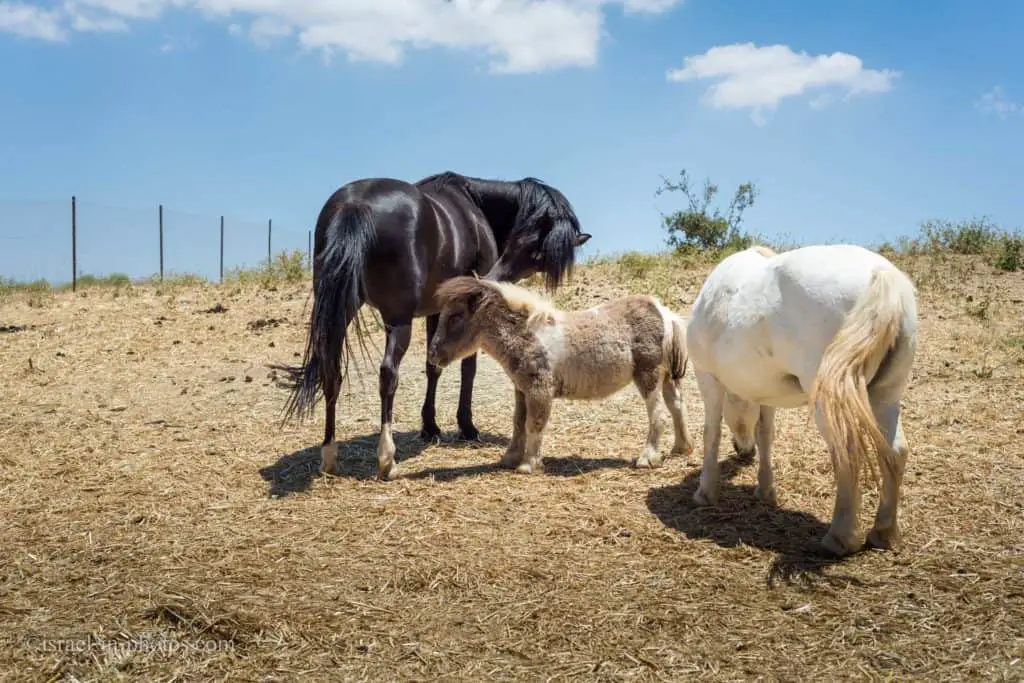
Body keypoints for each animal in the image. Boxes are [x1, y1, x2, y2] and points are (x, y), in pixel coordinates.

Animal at [276, 171, 593, 481]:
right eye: (524, 244)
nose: (490, 278)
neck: (475, 203)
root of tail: (355, 205)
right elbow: (468, 369)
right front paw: (466, 426)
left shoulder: (436, 311)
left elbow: (433, 366)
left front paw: (429, 426)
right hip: (397, 320)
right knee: (387, 374)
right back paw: (387, 458)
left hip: (340, 314)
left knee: (331, 374)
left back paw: (329, 454)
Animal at [423, 278, 696, 475]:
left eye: (456, 316)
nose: (433, 355)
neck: (527, 334)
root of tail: (664, 312)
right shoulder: (521, 390)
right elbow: (518, 423)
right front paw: (509, 458)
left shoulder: (539, 389)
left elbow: (534, 424)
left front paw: (528, 464)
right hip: (668, 377)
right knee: (677, 407)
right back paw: (682, 448)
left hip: (648, 375)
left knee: (658, 414)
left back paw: (648, 458)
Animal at [684, 242, 917, 557]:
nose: (744, 452)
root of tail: (880, 274)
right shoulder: (766, 393)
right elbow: (766, 434)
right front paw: (765, 490)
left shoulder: (708, 378)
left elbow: (711, 434)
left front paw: (705, 492)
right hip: (887, 396)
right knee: (894, 452)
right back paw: (884, 532)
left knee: (847, 453)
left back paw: (840, 537)